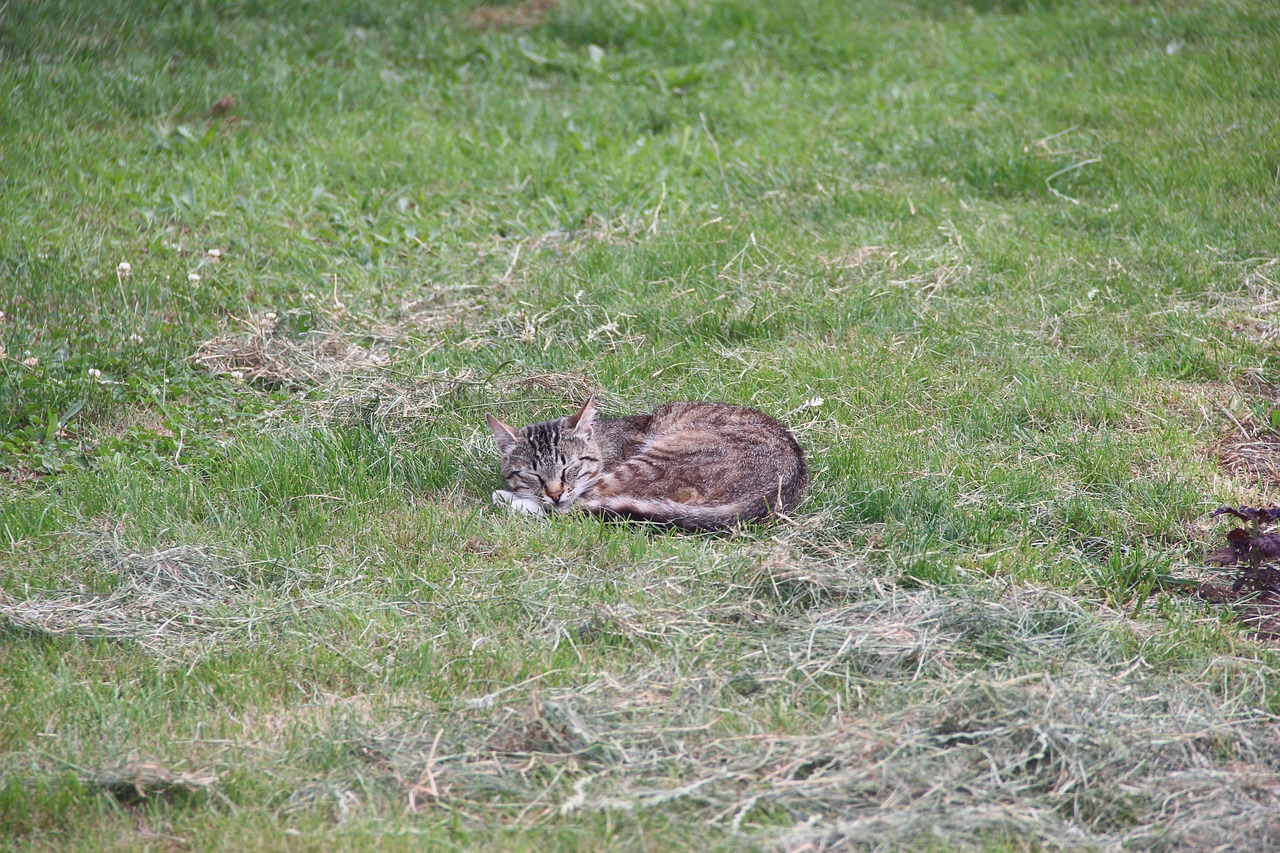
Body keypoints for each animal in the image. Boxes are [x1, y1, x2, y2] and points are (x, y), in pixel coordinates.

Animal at [483, 394, 803, 527]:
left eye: (570, 468)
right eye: (533, 475)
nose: (555, 493)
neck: (604, 443)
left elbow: (566, 506)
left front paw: (517, 498)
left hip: (652, 461)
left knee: (576, 509)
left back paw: (510, 501)